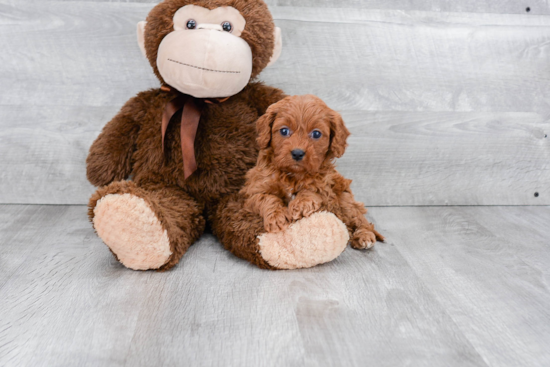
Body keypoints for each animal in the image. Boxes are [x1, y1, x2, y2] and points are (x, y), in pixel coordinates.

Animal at [242, 95, 384, 250]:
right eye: (284, 131)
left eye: (316, 134)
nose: (297, 153)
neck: (293, 174)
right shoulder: (254, 190)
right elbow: (267, 198)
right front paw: (277, 217)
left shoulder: (326, 188)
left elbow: (313, 190)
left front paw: (301, 204)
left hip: (345, 200)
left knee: (360, 220)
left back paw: (364, 236)